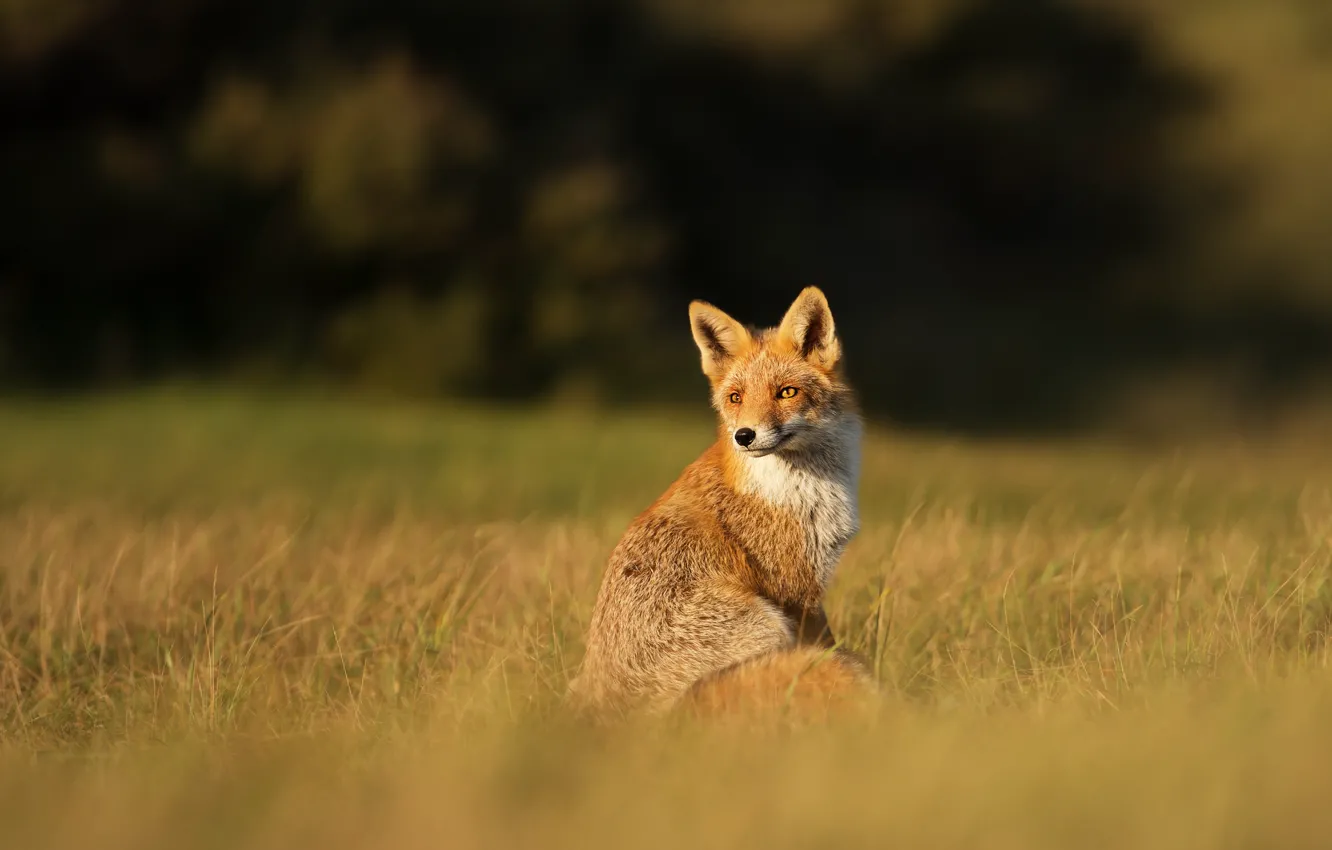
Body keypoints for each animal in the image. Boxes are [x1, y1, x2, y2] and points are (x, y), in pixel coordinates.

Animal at [567, 286, 874, 721]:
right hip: (767, 625)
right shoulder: (796, 591)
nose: (744, 435)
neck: (800, 489)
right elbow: (828, 644)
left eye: (787, 392)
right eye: (735, 398)